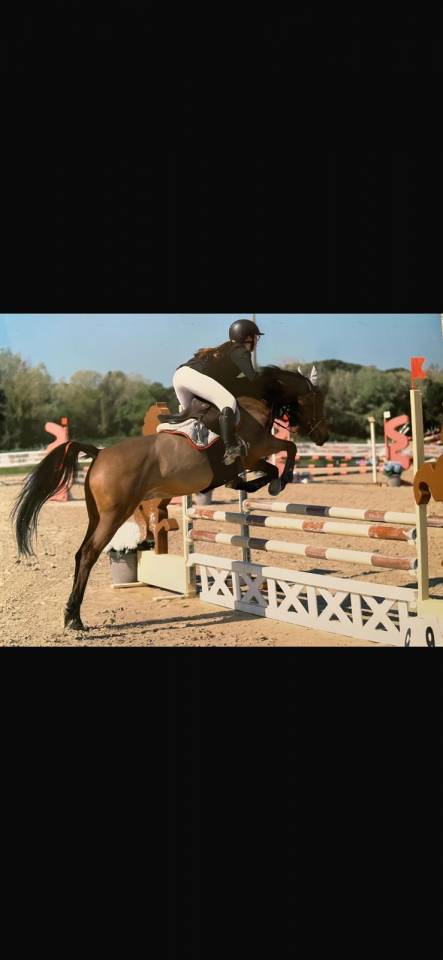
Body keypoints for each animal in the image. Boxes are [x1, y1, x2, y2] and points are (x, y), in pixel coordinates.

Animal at [11, 364, 329, 631]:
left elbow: (267, 466)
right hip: (114, 515)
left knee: (80, 554)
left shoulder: (253, 457)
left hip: (96, 515)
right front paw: (277, 483)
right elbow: (286, 451)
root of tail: (99, 453)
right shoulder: (257, 449)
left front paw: (252, 485)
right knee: (90, 553)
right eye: (317, 401)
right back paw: (75, 618)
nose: (323, 437)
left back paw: (71, 613)